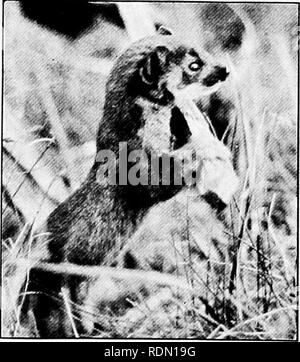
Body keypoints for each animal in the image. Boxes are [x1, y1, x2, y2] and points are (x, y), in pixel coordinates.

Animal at [24, 33, 230, 336]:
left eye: (205, 50)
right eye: (194, 65)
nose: (225, 70)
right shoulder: (136, 163)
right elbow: (157, 183)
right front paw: (206, 150)